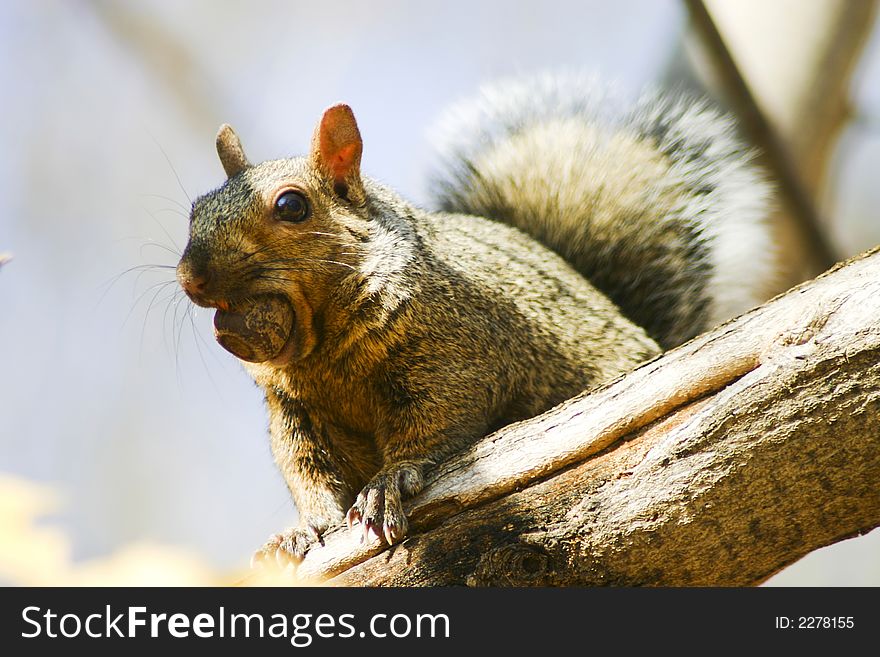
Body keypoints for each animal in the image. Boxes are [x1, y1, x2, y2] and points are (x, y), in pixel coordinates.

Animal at [175, 70, 772, 564]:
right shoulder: (297, 415)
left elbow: (437, 418)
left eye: (292, 206)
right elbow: (308, 471)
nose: (190, 277)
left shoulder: (455, 352)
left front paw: (388, 484)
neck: (322, 352)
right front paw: (304, 528)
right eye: (195, 210)